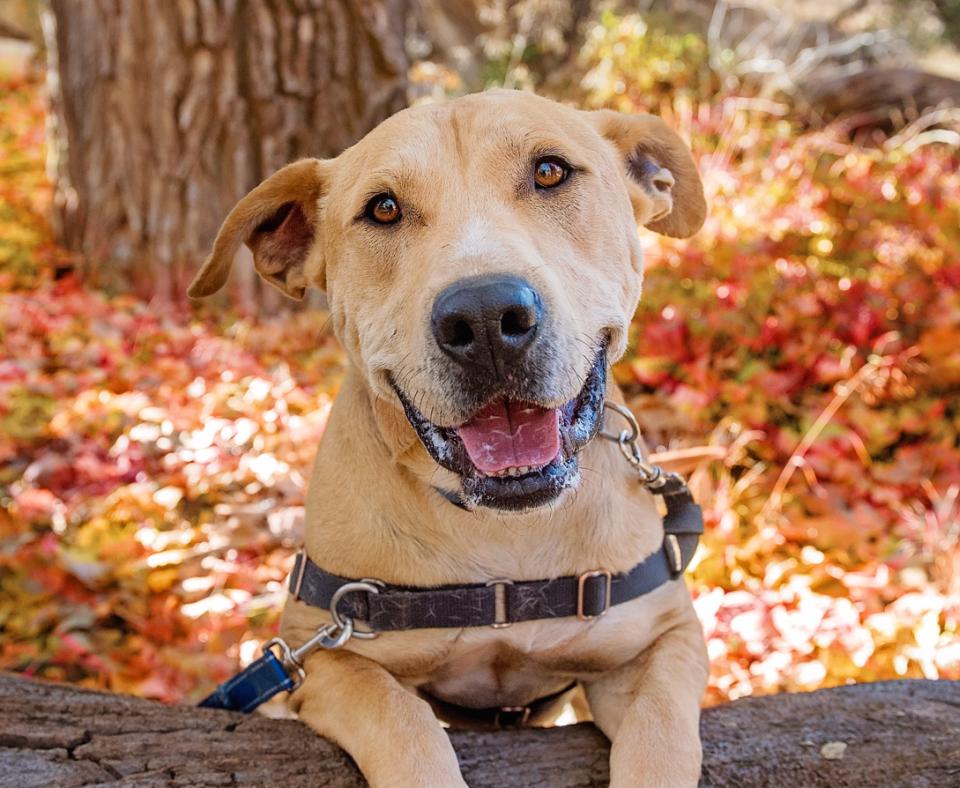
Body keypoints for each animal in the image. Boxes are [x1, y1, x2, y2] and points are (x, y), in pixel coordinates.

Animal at [191, 89, 708, 784]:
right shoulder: (321, 653)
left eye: (551, 172)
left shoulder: (663, 639)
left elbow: (660, 736)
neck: (505, 534)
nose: (486, 318)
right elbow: (402, 722)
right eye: (383, 209)